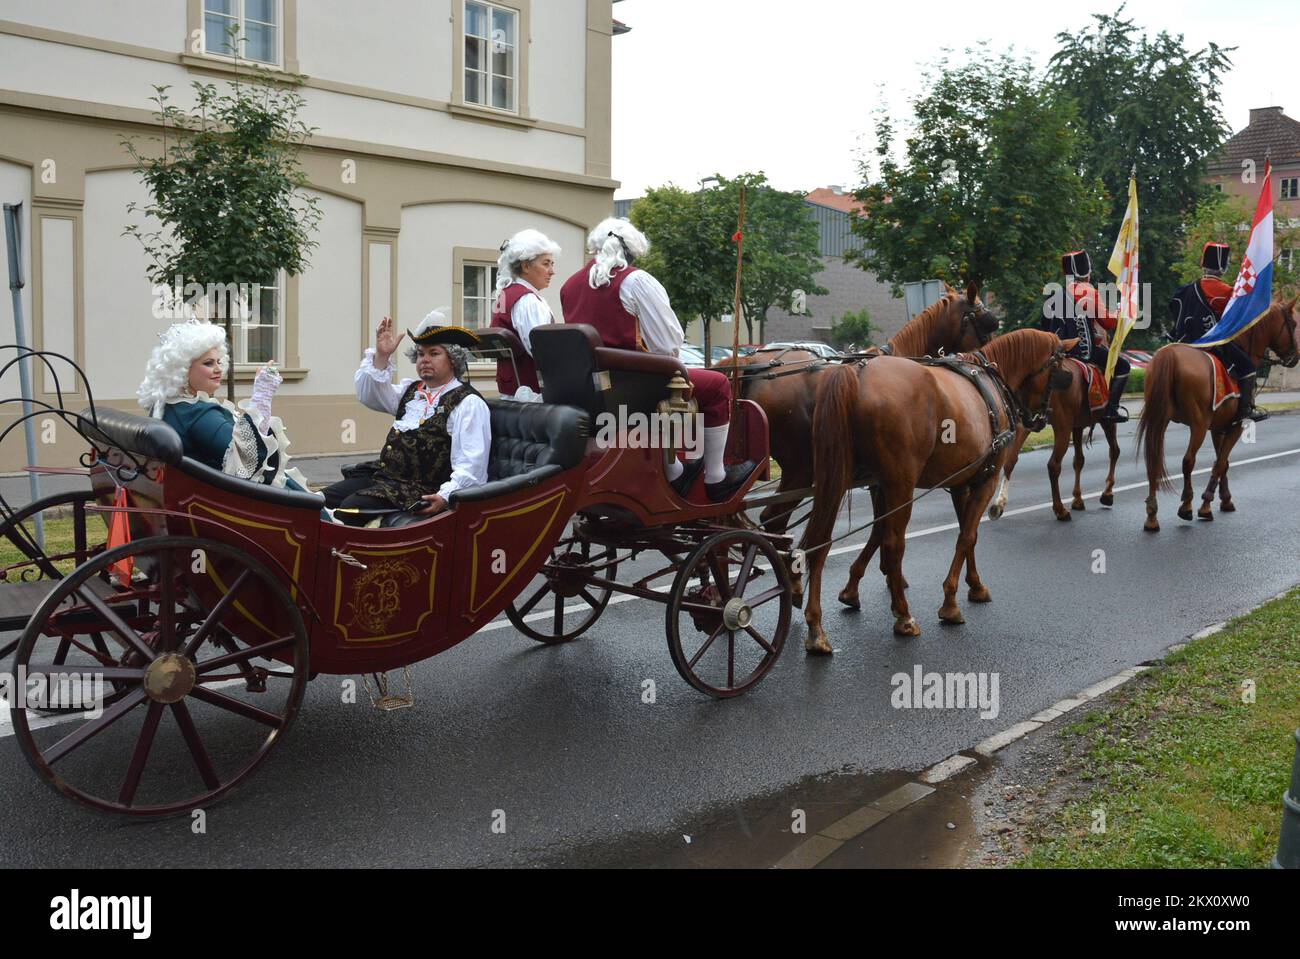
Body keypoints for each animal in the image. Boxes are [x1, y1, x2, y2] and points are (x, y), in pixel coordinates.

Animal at [800, 328, 1076, 649]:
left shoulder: (959, 484)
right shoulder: (986, 480)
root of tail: (858, 372)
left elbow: (968, 534)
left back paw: (816, 627)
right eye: (1058, 371)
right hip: (900, 484)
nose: (1041, 418)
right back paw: (903, 616)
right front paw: (950, 603)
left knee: (822, 542)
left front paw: (975, 585)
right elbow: (966, 535)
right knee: (893, 544)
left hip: (844, 478)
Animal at [1133, 297, 1294, 530]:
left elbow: (1223, 462)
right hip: (1198, 425)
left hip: (1160, 419)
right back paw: (1186, 506)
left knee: (1153, 461)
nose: (1294, 358)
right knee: (1188, 461)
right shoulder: (1235, 426)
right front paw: (1206, 505)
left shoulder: (1219, 427)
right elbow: (1219, 463)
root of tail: (1169, 355)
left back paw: (1152, 516)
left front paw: (1225, 500)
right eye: (1295, 324)